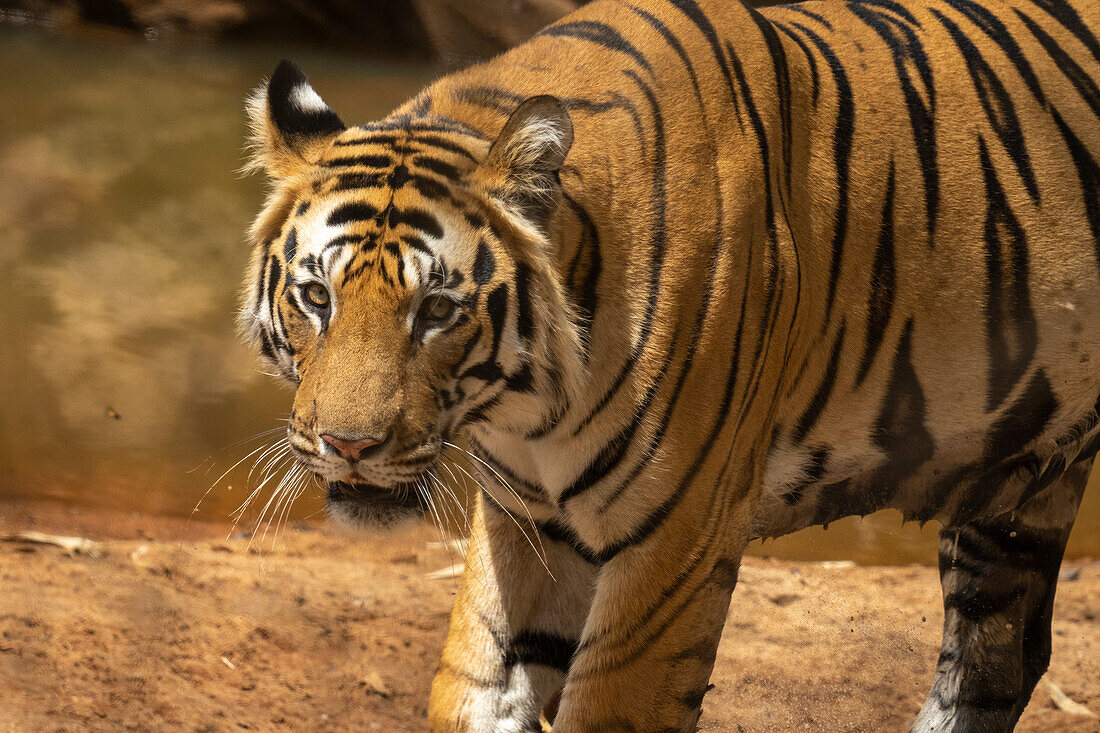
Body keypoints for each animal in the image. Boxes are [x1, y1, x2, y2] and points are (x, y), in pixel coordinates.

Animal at [240, 0, 1100, 726]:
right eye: (316, 296)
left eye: (438, 310)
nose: (348, 446)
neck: (526, 409)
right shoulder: (527, 523)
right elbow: (480, 685)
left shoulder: (677, 537)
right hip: (1018, 489)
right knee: (998, 659)